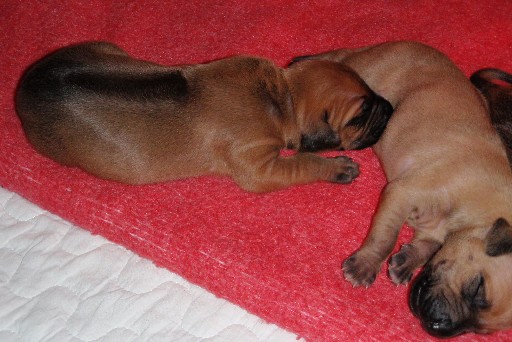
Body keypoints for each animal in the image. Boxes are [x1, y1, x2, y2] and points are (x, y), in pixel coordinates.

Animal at [16, 40, 392, 192]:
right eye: (360, 116)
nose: (390, 107)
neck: (281, 94)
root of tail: (23, 88)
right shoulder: (259, 169)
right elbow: (305, 163)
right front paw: (338, 168)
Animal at [292, 40, 512, 336]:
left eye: (480, 332)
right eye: (478, 288)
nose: (437, 327)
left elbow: (429, 246)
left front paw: (408, 260)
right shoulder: (401, 193)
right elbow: (385, 237)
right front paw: (365, 266)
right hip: (366, 75)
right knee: (335, 60)